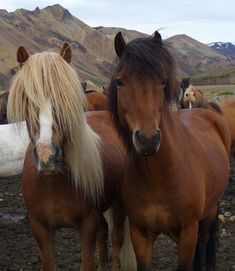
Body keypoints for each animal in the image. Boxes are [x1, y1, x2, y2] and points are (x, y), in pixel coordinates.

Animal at [7, 43, 135, 270]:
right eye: (28, 99)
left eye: (65, 96)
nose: (47, 156)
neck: (53, 183)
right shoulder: (40, 230)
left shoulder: (87, 226)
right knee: (104, 233)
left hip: (119, 205)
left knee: (116, 239)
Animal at [108, 30, 231, 270]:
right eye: (119, 82)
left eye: (162, 82)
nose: (148, 139)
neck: (159, 176)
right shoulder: (140, 235)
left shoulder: (188, 232)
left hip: (209, 213)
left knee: (204, 243)